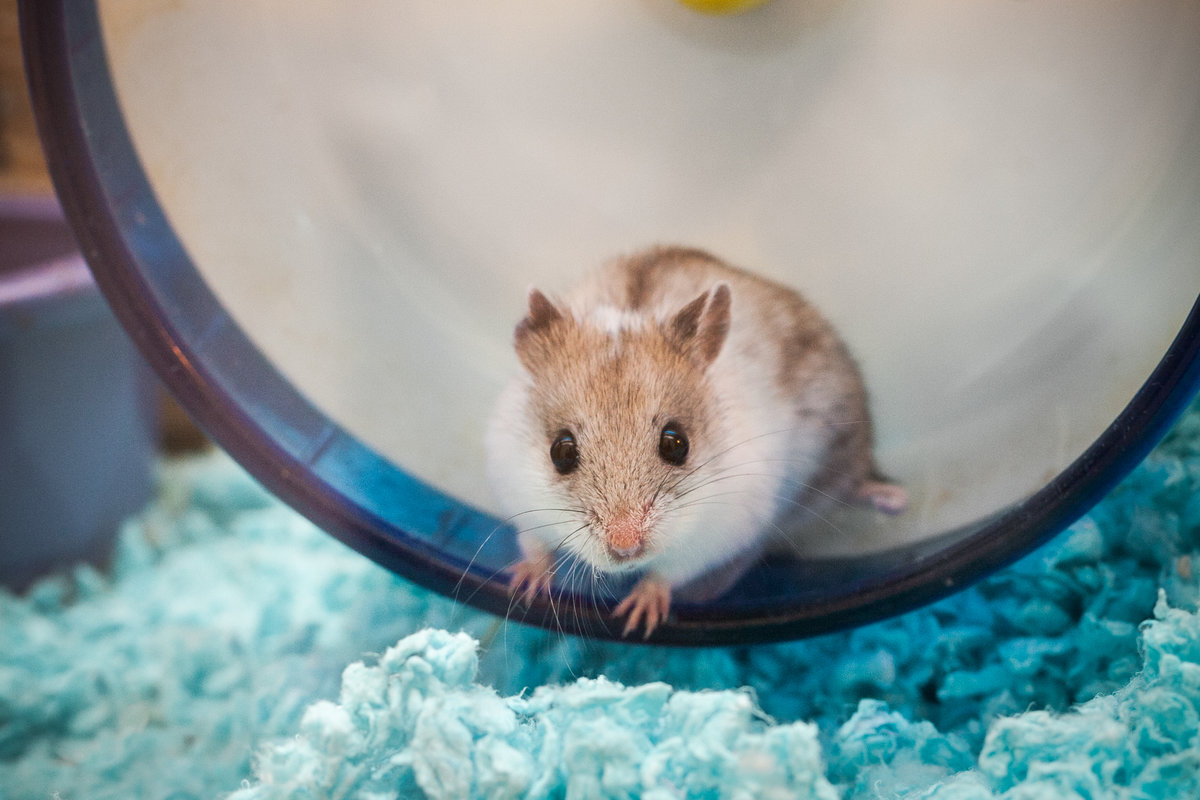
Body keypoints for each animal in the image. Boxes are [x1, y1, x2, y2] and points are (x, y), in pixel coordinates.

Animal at [482, 244, 902, 638]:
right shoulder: (518, 495)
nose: (625, 547)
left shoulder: (719, 533)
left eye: (676, 443)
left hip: (834, 466)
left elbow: (669, 573)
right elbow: (534, 545)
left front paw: (636, 617)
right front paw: (524, 587)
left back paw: (894, 498)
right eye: (561, 451)